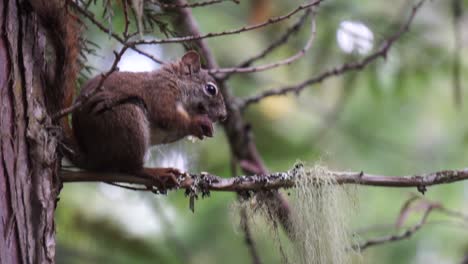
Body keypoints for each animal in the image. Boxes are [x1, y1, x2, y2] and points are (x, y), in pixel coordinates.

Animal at [30, 0, 228, 188]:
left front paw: (204, 130)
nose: (223, 116)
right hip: (126, 119)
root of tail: (92, 158)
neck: (177, 83)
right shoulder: (161, 92)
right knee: (130, 168)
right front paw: (198, 123)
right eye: (211, 89)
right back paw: (157, 172)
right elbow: (166, 115)